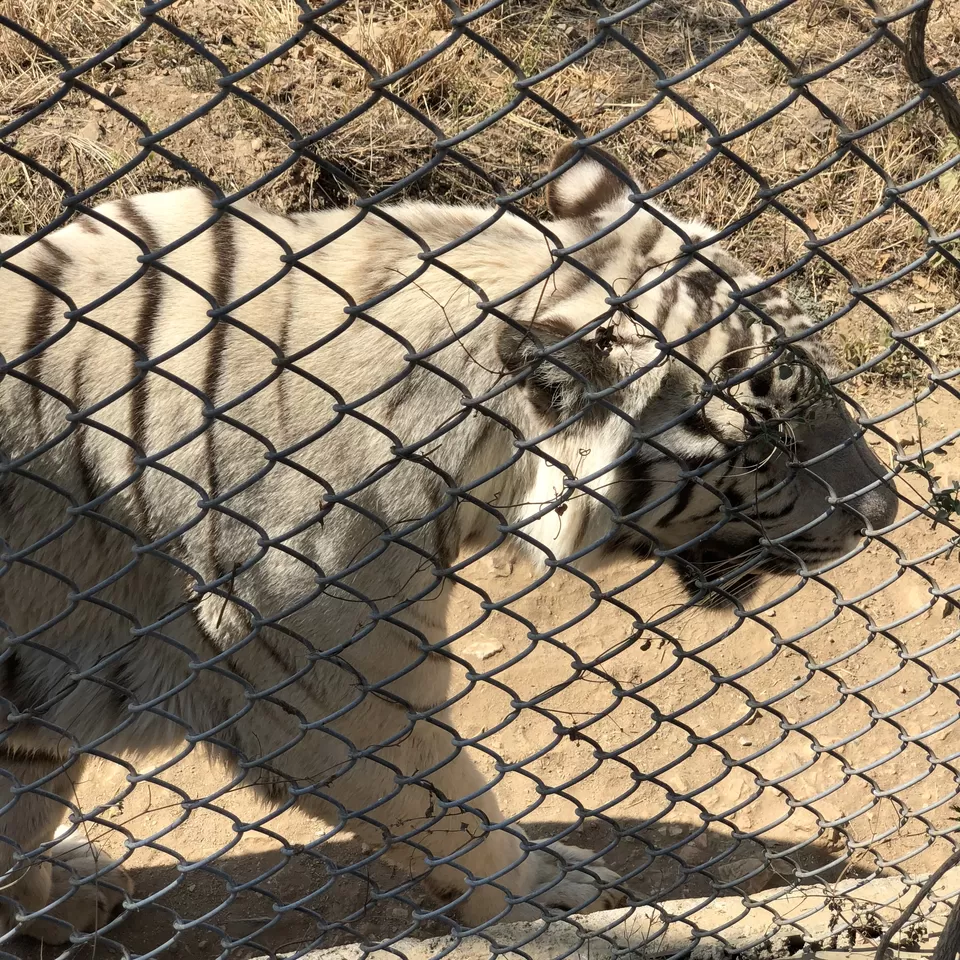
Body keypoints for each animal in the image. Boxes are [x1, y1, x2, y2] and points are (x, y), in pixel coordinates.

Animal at [0, 146, 900, 940]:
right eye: (765, 448)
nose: (883, 512)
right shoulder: (325, 687)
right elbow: (453, 809)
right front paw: (551, 889)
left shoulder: (36, 721)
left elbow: (21, 828)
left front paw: (58, 904)